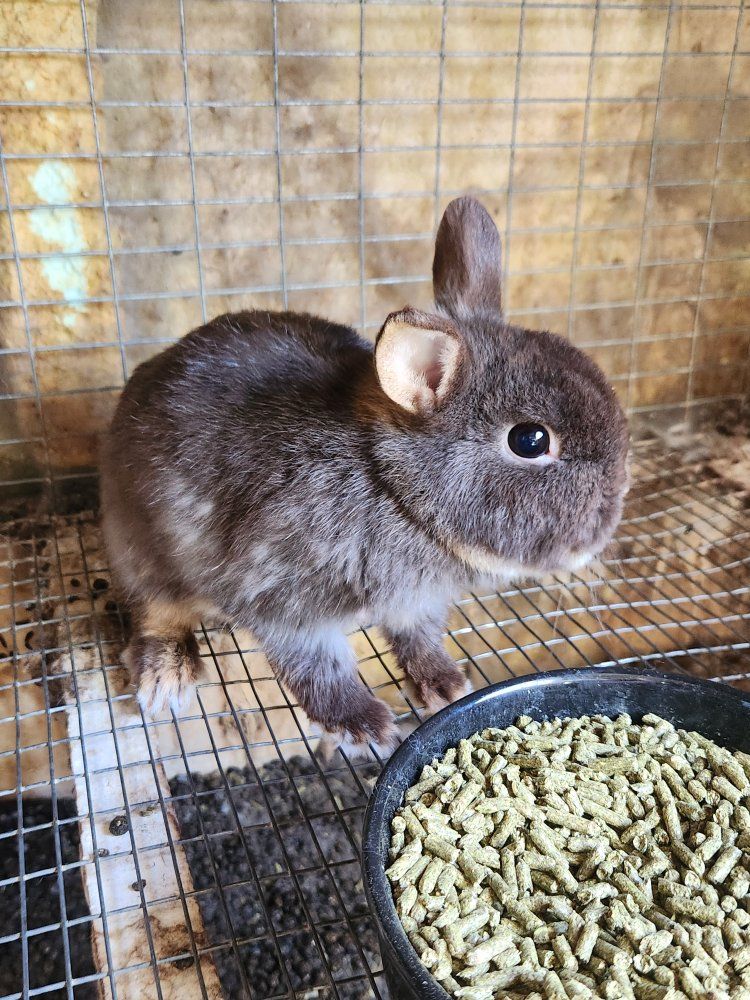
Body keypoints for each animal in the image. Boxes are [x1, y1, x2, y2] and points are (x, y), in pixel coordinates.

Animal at [100, 196, 629, 751]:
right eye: (530, 440)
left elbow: (418, 640)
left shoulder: (415, 605)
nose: (611, 514)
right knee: (156, 611)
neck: (394, 489)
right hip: (143, 551)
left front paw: (446, 685)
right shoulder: (285, 600)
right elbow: (317, 668)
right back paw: (167, 677)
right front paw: (365, 724)